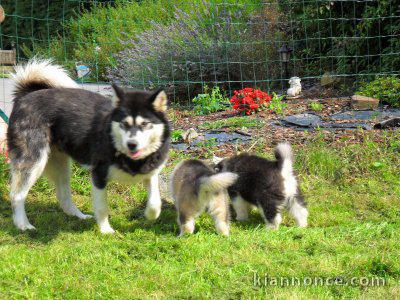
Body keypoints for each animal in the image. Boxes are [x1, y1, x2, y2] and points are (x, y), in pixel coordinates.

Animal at [6, 58, 169, 232]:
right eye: (124, 124)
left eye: (145, 124)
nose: (132, 144)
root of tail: (25, 96)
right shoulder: (98, 175)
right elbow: (102, 207)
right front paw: (106, 231)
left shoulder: (151, 172)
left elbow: (155, 201)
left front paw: (150, 215)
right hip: (34, 162)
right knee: (17, 195)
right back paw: (23, 224)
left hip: (61, 165)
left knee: (63, 195)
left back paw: (78, 216)